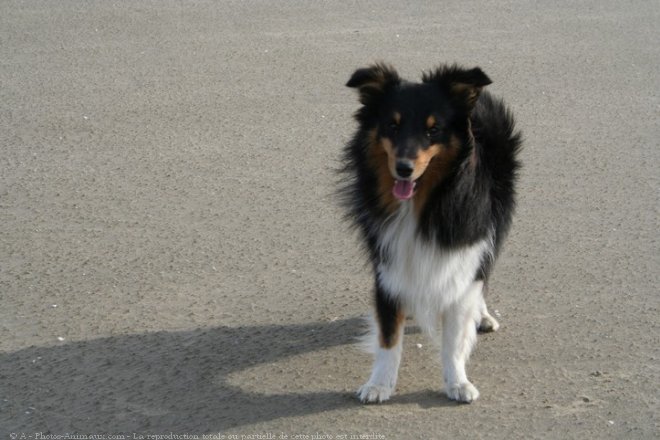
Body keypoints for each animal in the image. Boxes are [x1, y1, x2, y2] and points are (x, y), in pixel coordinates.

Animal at [340, 63, 520, 404]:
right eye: (392, 125)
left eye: (433, 130)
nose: (403, 168)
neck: (420, 205)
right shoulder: (388, 263)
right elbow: (388, 336)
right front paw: (379, 384)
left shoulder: (464, 252)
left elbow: (454, 336)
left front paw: (458, 382)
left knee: (482, 274)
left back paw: (482, 315)